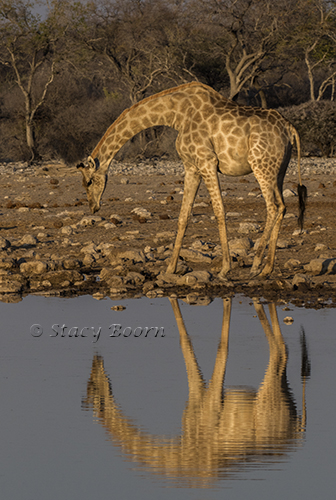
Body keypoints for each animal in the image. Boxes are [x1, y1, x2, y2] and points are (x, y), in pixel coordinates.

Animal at [77, 80, 308, 280]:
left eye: (88, 182)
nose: (93, 207)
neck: (177, 114)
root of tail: (289, 128)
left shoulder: (207, 161)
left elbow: (219, 211)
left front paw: (225, 269)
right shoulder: (191, 167)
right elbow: (183, 216)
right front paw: (170, 268)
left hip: (260, 165)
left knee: (273, 207)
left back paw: (255, 266)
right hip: (278, 170)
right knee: (282, 206)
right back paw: (267, 269)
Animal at [82, 298, 308, 486]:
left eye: (92, 386)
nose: (95, 361)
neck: (179, 454)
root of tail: (296, 430)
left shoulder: (210, 401)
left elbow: (216, 346)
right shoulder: (198, 396)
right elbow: (187, 342)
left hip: (268, 396)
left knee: (279, 350)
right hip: (281, 389)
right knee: (282, 349)